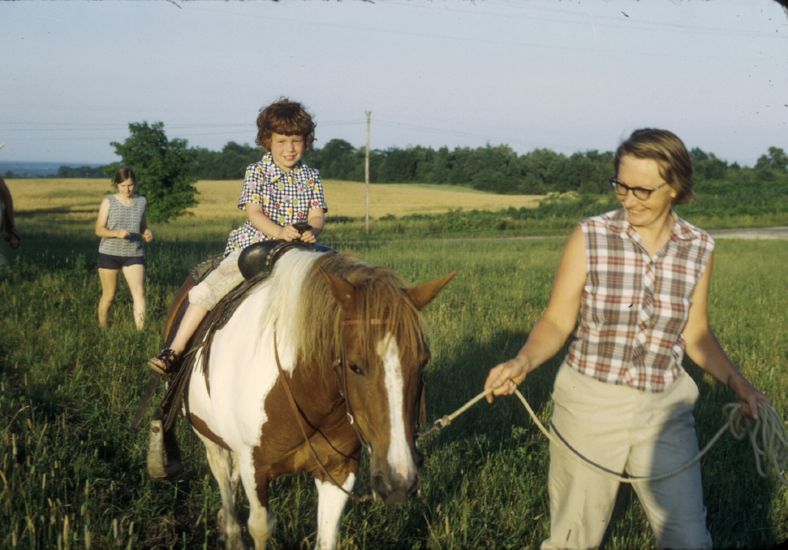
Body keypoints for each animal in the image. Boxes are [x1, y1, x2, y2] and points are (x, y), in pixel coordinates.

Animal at [163, 249, 452, 548]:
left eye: (422, 361)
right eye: (355, 366)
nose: (399, 483)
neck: (303, 392)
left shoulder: (339, 470)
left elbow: (327, 537)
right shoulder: (254, 468)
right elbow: (260, 528)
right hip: (209, 438)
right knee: (224, 483)